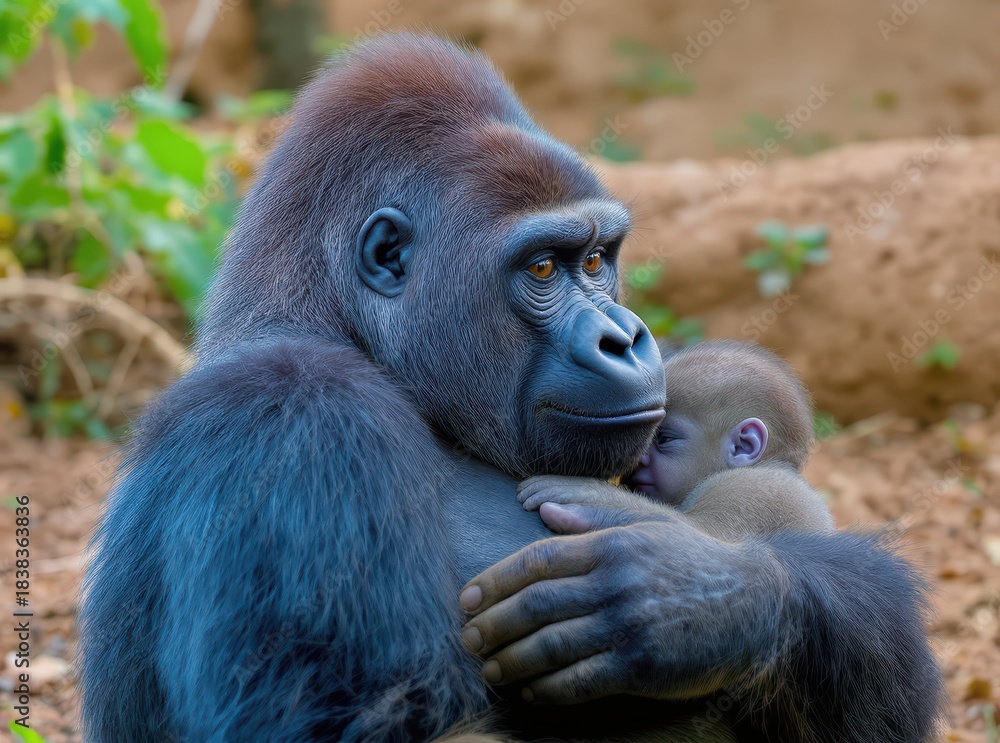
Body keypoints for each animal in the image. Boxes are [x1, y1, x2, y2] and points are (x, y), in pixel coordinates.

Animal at [516, 341, 835, 542]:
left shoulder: (752, 489)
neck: (770, 463)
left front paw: (585, 492)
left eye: (664, 439)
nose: (638, 463)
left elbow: (705, 533)